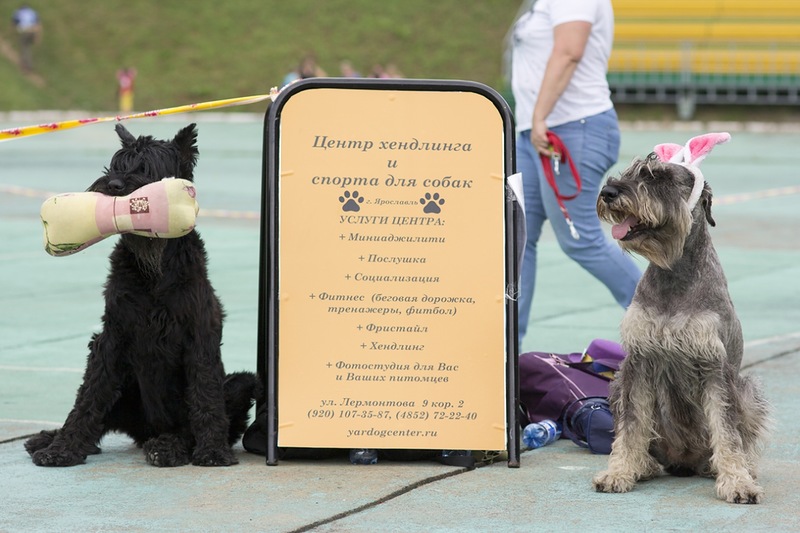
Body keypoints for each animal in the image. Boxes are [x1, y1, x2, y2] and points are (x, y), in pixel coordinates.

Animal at [25, 123, 260, 466]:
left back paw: (169, 446)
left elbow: (205, 393)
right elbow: (89, 395)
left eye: (147, 169)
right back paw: (48, 438)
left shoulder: (199, 334)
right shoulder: (112, 335)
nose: (114, 185)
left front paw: (213, 451)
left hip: (242, 383)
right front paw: (63, 448)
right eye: (116, 164)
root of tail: (149, 432)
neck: (153, 269)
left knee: (193, 422)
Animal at [592, 133, 768, 502]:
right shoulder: (638, 362)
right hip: (616, 383)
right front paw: (619, 472)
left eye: (659, 178)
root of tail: (683, 462)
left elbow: (726, 429)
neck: (673, 271)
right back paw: (644, 465)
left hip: (748, 389)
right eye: (629, 172)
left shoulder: (715, 366)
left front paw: (737, 481)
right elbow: (631, 425)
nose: (609, 192)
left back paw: (737, 467)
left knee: (741, 436)